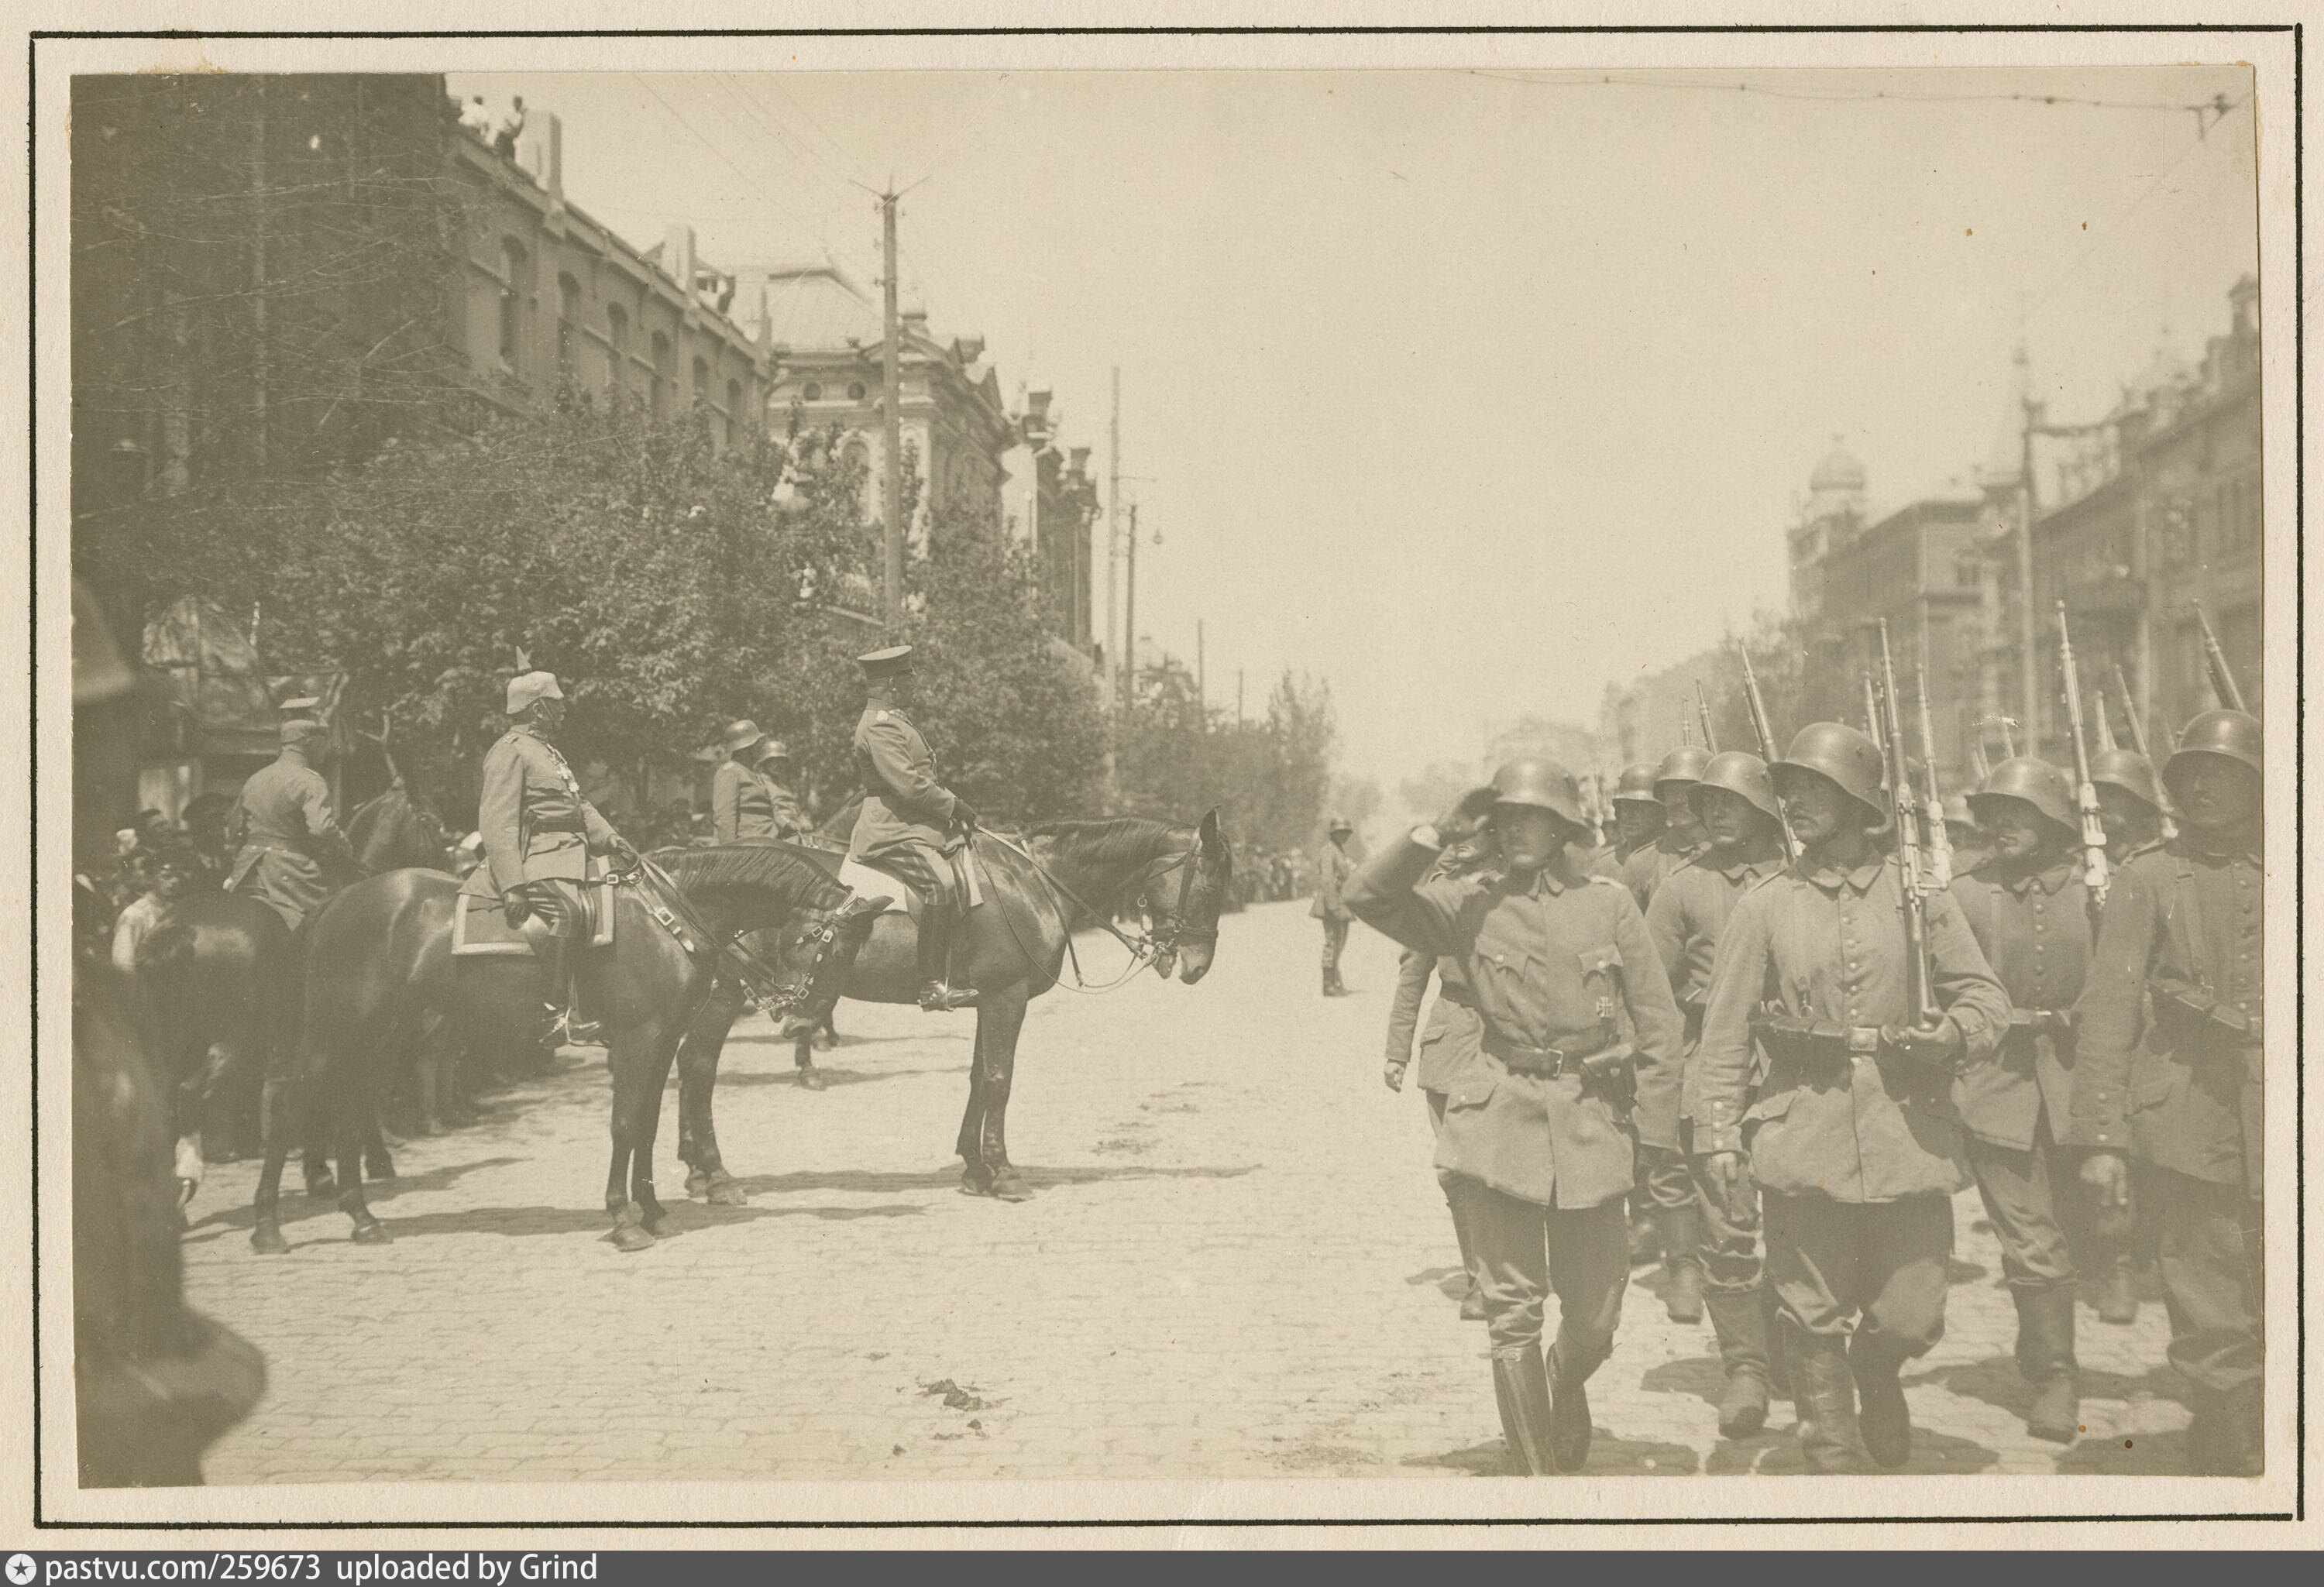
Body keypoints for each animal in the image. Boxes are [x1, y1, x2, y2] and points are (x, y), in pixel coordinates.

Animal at [259, 850, 883, 1264]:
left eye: (854, 953)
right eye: (821, 943)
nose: (802, 1019)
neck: (668, 921)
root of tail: (338, 899)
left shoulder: (660, 1043)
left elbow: (647, 1124)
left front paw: (650, 1209)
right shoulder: (637, 1041)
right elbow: (626, 1124)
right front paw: (623, 1219)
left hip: (379, 1038)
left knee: (351, 1108)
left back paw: (363, 1218)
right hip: (334, 1032)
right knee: (289, 1104)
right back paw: (268, 1225)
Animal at [762, 813, 1236, 1199]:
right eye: (1212, 886)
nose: (1198, 966)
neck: (1032, 882)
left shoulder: (985, 1000)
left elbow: (979, 1078)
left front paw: (976, 1170)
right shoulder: (1006, 997)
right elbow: (998, 1081)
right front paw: (1004, 1173)